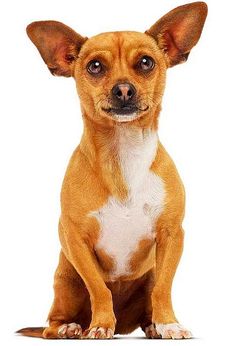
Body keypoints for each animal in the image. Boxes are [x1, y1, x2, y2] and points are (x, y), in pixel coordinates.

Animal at [17, 1, 207, 340]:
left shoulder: (172, 235)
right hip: (67, 280)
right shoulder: (75, 240)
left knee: (149, 302)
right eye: (95, 66)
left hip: (147, 276)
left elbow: (163, 289)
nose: (123, 90)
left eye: (145, 63)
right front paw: (101, 324)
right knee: (52, 323)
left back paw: (153, 326)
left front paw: (169, 323)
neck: (123, 152)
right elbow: (99, 289)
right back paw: (71, 327)